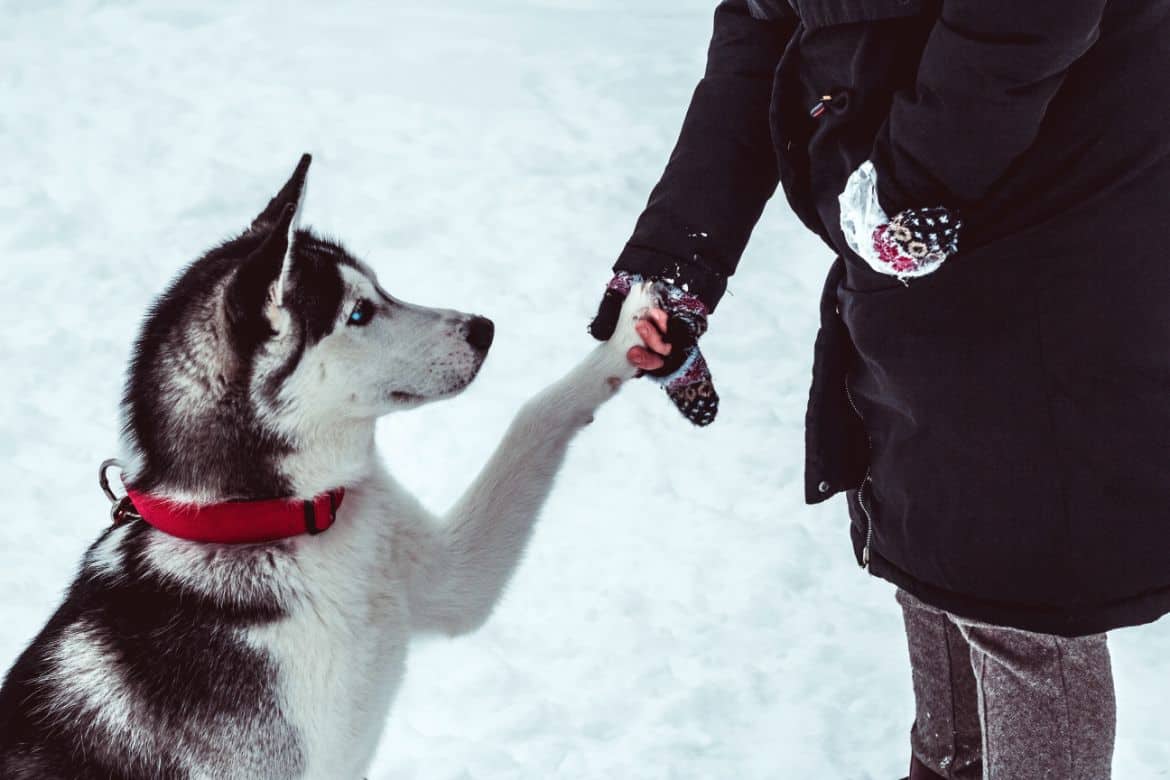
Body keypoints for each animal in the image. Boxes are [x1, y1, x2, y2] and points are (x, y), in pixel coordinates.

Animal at [0, 155, 659, 776]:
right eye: (359, 314)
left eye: (381, 289)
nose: (484, 328)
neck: (277, 520)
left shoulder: (448, 575)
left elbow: (535, 413)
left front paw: (629, 334)